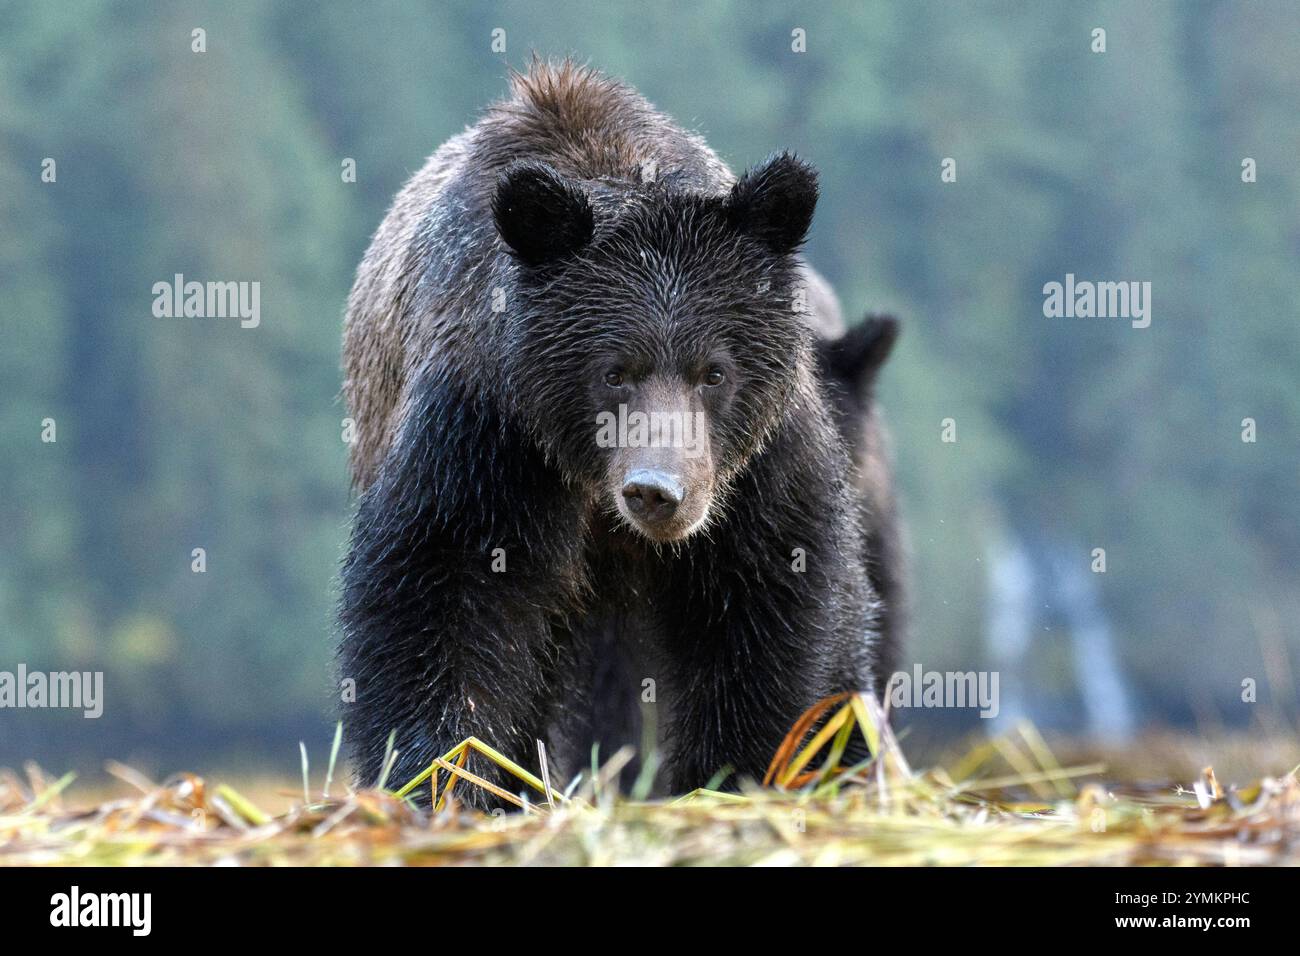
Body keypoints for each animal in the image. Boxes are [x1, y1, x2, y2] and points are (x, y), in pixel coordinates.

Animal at [339, 59, 879, 805]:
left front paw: (734, 772)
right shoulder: (487, 433)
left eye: (714, 371)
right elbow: (443, 590)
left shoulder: (758, 466)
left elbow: (769, 604)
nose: (657, 491)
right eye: (614, 371)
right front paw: (447, 778)